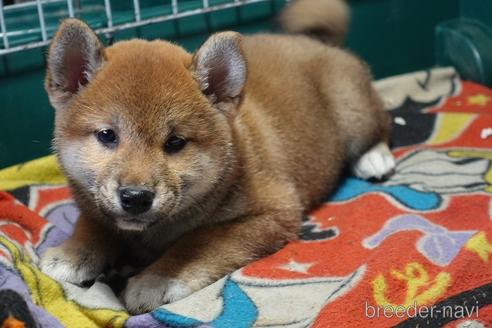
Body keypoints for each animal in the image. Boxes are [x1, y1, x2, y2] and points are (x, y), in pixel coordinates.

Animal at [40, 0, 396, 314]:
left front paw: (157, 279)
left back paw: (374, 158)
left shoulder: (273, 212)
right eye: (106, 135)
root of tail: (315, 42)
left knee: (380, 124)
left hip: (351, 107)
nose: (136, 197)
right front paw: (73, 253)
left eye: (175, 142)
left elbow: (199, 241)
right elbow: (93, 223)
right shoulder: (93, 204)